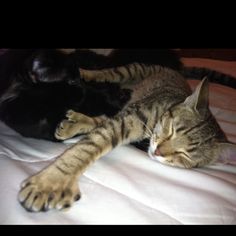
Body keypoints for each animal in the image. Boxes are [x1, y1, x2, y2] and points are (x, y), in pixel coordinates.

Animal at [18, 62, 236, 212]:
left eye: (184, 155)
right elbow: (89, 145)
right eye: (172, 129)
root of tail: (177, 70)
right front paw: (51, 181)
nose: (158, 151)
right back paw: (84, 72)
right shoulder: (130, 117)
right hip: (135, 70)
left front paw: (77, 124)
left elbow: (99, 123)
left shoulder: (125, 116)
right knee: (109, 73)